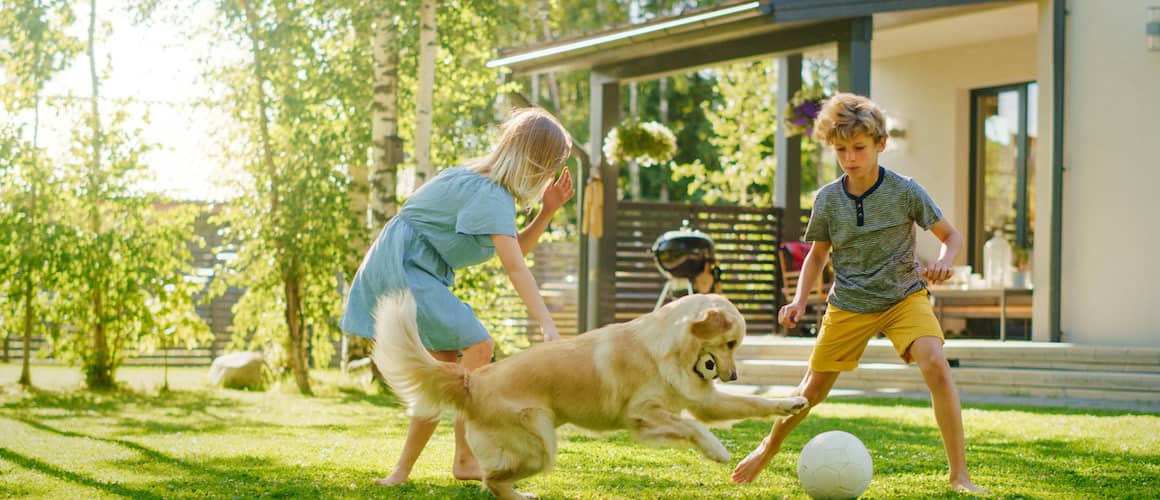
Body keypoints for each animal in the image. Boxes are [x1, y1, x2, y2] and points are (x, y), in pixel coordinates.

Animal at [371, 291, 807, 498]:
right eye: (730, 343)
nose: (733, 375)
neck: (667, 348)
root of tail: (472, 380)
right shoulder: (642, 413)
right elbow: (693, 428)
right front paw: (716, 450)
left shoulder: (700, 401)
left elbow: (753, 403)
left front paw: (791, 402)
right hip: (541, 443)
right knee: (491, 479)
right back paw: (518, 495)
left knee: (492, 478)